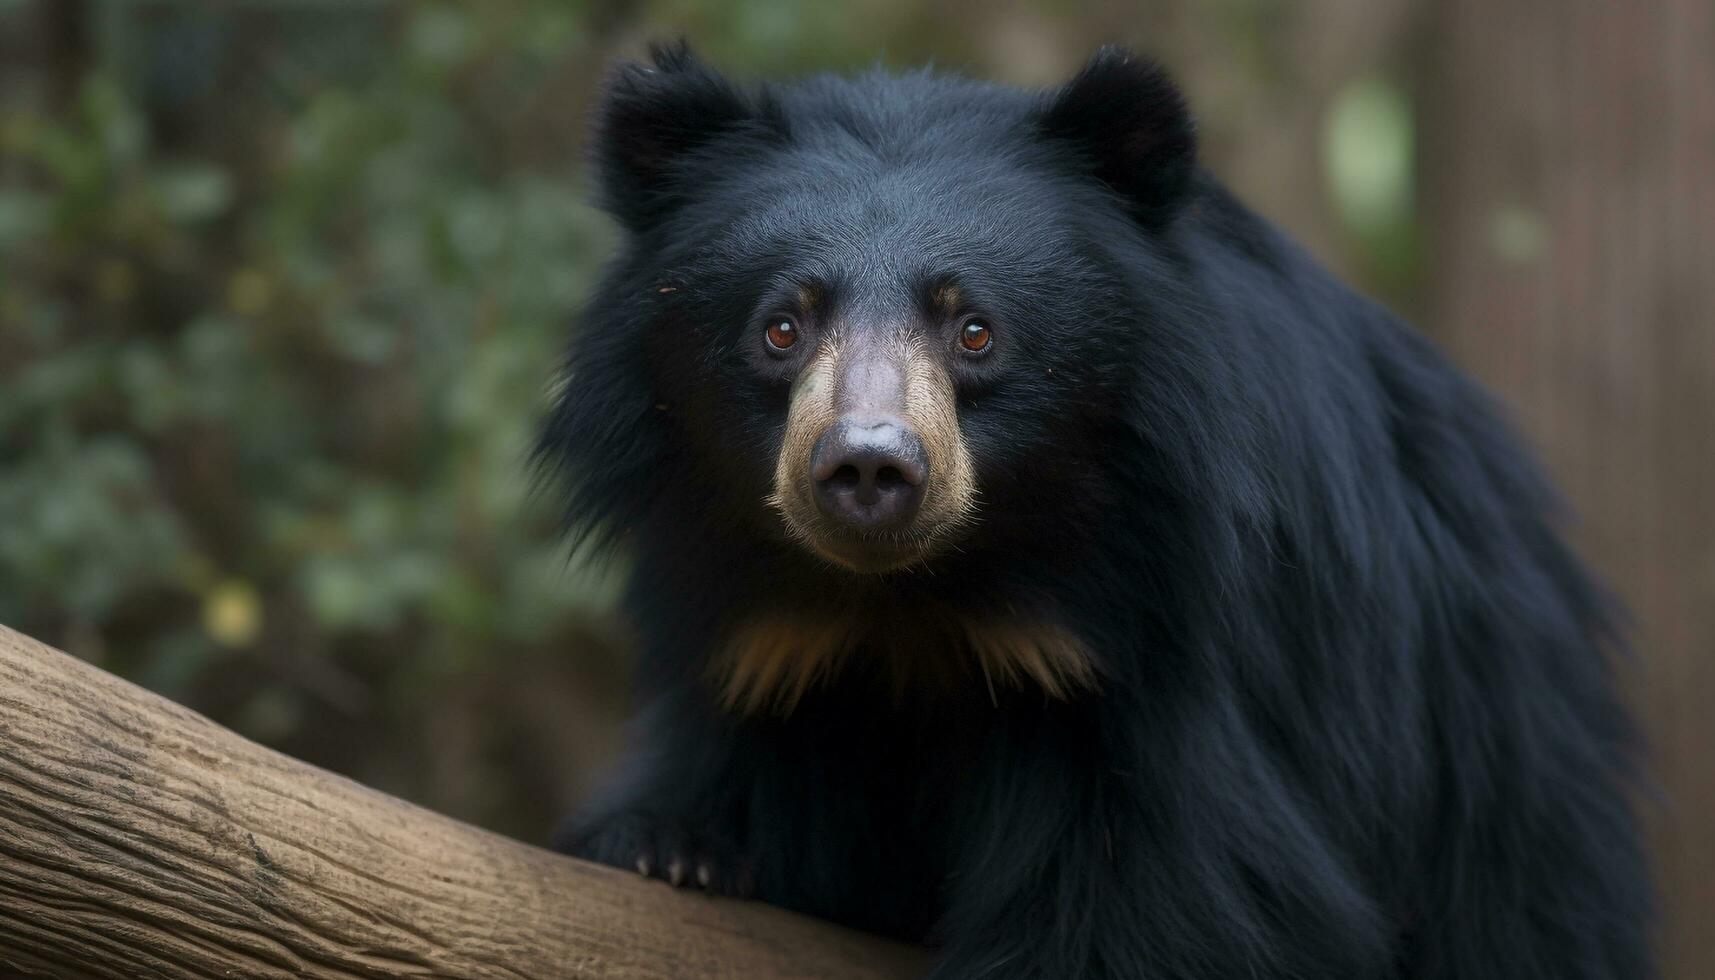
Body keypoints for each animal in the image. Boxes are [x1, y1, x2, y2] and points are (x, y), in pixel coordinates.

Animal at [541, 42, 1653, 974]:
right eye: (780, 327)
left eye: (975, 331)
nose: (866, 468)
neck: (919, 604)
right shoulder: (766, 645)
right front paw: (672, 849)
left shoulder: (1168, 663)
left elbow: (1173, 907)